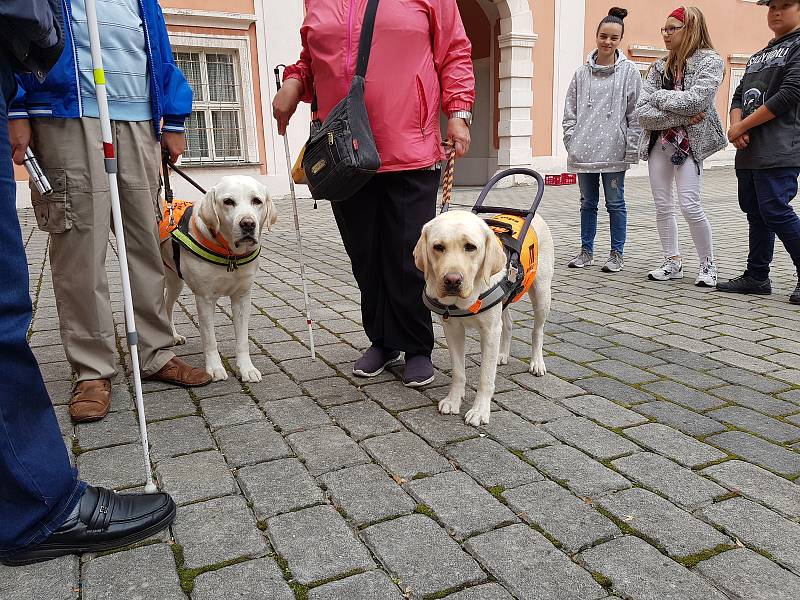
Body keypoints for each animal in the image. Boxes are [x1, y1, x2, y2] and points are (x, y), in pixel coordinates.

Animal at [159, 176, 278, 382]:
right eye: (228, 202)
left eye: (257, 201)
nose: (248, 224)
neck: (230, 255)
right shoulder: (205, 299)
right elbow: (210, 340)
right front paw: (214, 368)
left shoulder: (242, 298)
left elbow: (242, 340)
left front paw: (246, 369)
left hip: (175, 281)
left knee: (168, 305)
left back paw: (173, 335)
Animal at [416, 211, 552, 426]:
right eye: (438, 247)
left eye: (470, 247)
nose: (452, 280)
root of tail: (537, 216)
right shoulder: (452, 329)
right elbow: (458, 372)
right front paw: (453, 400)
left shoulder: (489, 332)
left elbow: (486, 377)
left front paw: (479, 411)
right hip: (504, 302)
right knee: (508, 324)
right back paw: (502, 354)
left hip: (541, 294)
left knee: (537, 330)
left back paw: (537, 363)